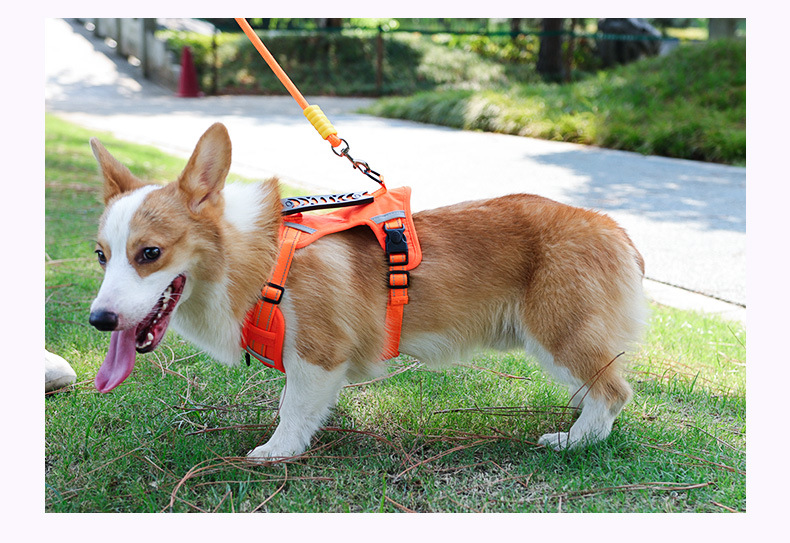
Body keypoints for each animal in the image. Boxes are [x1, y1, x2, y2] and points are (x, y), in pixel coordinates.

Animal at [88, 123, 647, 459]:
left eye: (150, 253)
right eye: (101, 255)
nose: (98, 321)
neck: (252, 255)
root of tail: (617, 232)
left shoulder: (318, 353)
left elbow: (293, 408)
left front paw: (277, 451)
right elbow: (296, 402)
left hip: (558, 332)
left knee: (613, 391)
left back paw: (572, 440)